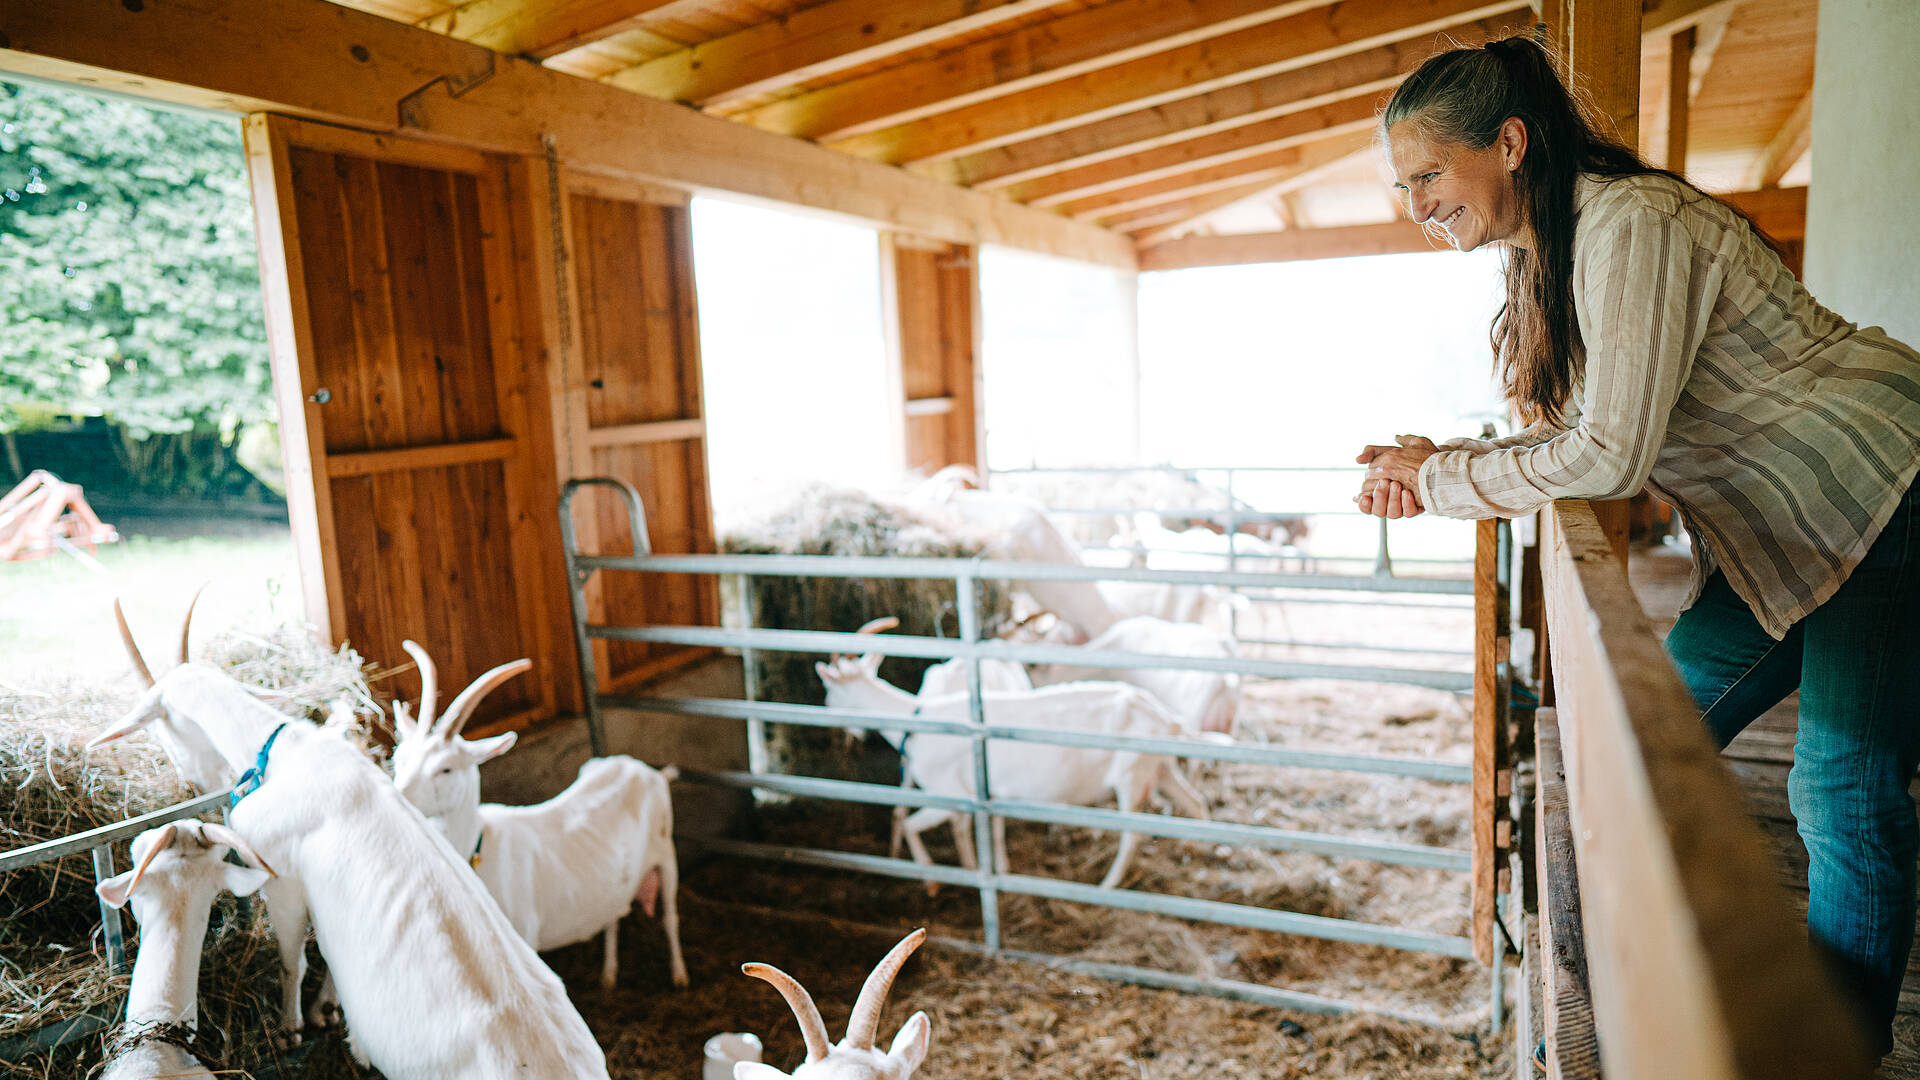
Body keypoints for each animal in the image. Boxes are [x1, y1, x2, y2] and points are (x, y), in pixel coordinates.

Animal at [385, 638, 687, 983]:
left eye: (445, 769)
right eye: (399, 757)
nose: (397, 795)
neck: (478, 847)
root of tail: (645, 769)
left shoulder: (525, 935)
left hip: (666, 854)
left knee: (670, 916)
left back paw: (679, 974)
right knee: (613, 915)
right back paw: (609, 975)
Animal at [814, 618, 1205, 887]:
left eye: (829, 693)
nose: (839, 731)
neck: (915, 717)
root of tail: (1165, 718)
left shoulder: (948, 794)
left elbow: (912, 826)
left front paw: (932, 879)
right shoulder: (980, 796)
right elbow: (979, 831)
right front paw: (978, 868)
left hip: (1131, 776)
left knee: (1132, 836)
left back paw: (1107, 885)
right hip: (1159, 768)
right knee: (1195, 801)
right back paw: (1197, 850)